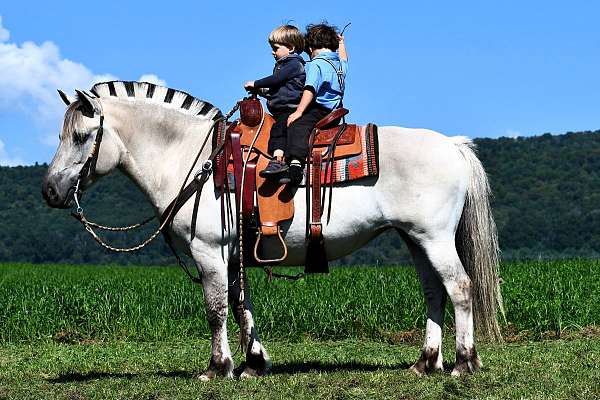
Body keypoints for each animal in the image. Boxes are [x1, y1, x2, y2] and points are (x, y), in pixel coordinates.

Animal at [43, 80, 502, 378]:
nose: (50, 191)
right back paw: (425, 362)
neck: (192, 158)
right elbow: (240, 304)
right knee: (434, 291)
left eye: (81, 136)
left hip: (435, 238)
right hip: (415, 239)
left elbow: (216, 308)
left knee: (460, 288)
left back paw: (463, 362)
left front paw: (218, 368)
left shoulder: (209, 251)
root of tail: (453, 145)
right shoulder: (232, 254)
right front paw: (254, 362)